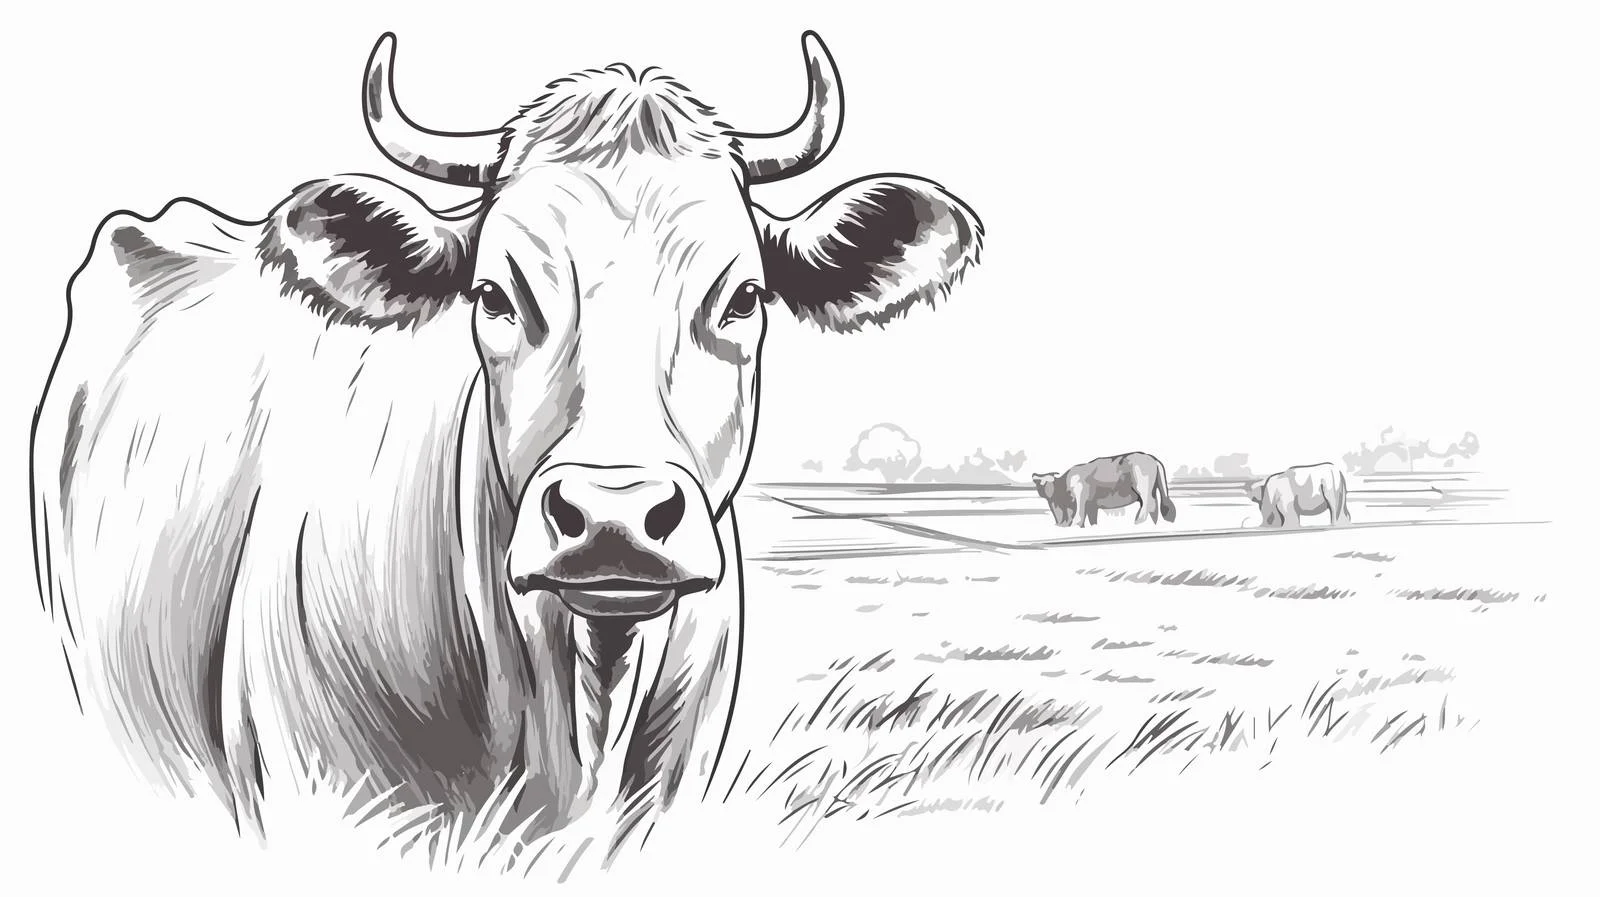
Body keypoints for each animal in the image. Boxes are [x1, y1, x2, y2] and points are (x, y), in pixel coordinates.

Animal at [1030, 452, 1176, 528]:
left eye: (1046, 480)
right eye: (1037, 483)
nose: (1042, 491)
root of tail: (1152, 458)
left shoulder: (1081, 497)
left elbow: (1079, 514)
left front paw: (1076, 525)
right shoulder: (1091, 505)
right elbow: (1092, 519)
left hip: (1143, 488)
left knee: (1148, 505)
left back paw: (1137, 522)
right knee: (1154, 506)